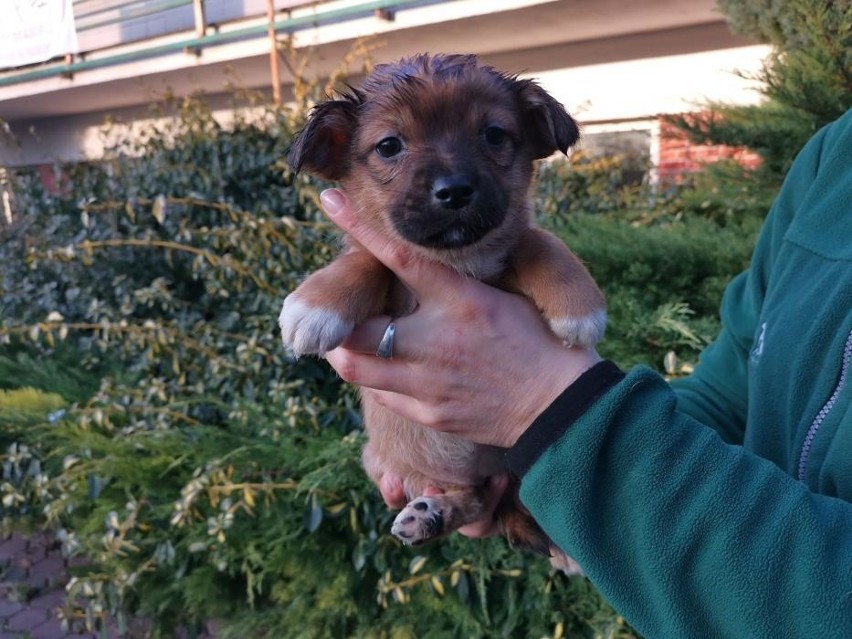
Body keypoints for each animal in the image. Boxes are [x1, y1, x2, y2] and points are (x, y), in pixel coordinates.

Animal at [280, 55, 604, 572]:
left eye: (494, 135)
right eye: (389, 146)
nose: (454, 191)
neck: (455, 262)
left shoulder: (511, 252)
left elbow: (537, 241)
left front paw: (579, 307)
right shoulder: (383, 266)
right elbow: (366, 260)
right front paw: (316, 304)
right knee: (472, 498)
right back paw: (429, 515)